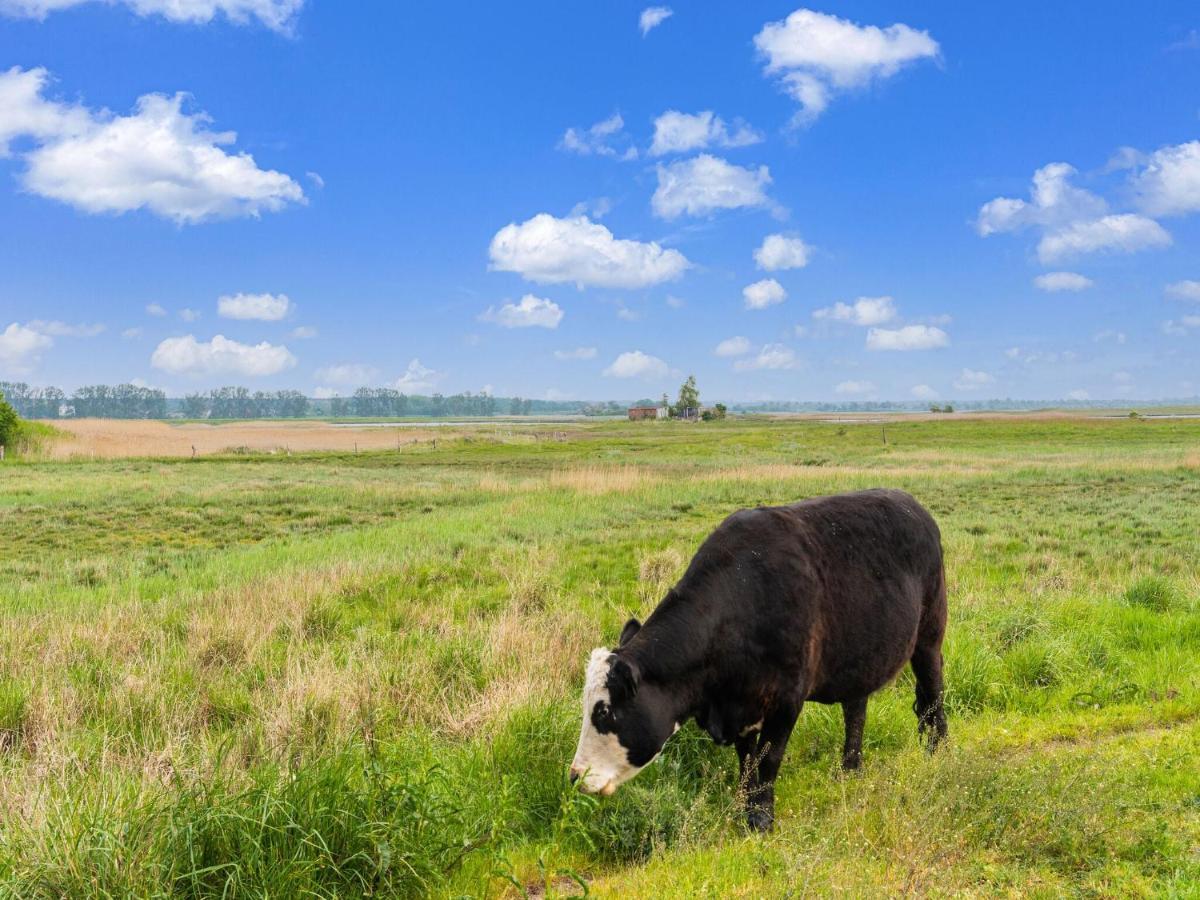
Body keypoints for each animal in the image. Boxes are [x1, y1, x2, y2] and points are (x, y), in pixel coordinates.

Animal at [568, 489, 945, 835]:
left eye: (604, 712)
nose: (575, 775)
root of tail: (912, 504)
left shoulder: (786, 701)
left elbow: (768, 759)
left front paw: (761, 820)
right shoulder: (741, 707)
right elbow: (747, 761)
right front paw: (744, 810)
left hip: (929, 638)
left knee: (933, 695)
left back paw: (937, 751)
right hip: (860, 658)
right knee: (856, 711)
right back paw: (850, 769)